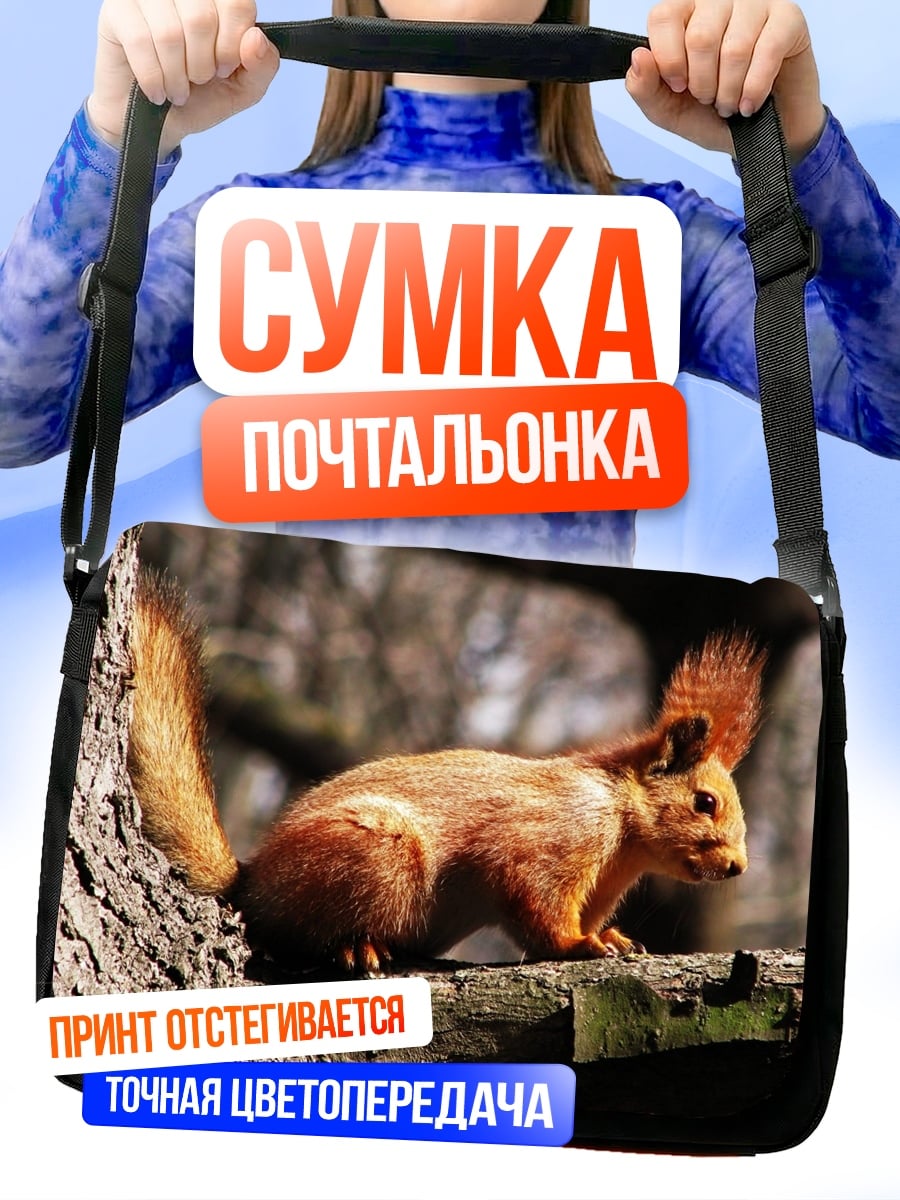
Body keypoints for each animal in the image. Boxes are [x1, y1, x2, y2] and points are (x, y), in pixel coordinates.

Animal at [127, 566, 766, 974]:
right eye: (705, 802)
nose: (738, 868)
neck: (623, 832)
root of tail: (252, 883)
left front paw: (608, 935)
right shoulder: (552, 837)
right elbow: (533, 900)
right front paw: (579, 944)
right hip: (372, 855)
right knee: (286, 936)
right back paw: (353, 948)